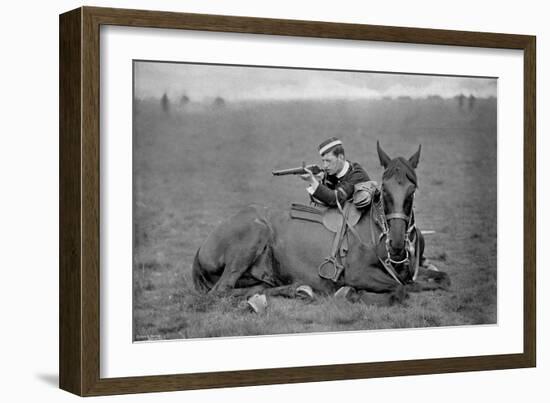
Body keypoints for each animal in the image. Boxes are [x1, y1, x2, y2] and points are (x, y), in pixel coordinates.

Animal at [192, 144, 450, 304]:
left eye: (412, 190)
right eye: (384, 189)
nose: (396, 244)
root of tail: (201, 248)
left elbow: (441, 279)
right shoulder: (359, 274)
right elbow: (400, 290)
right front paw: (350, 294)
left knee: (255, 288)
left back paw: (297, 289)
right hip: (255, 232)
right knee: (220, 291)